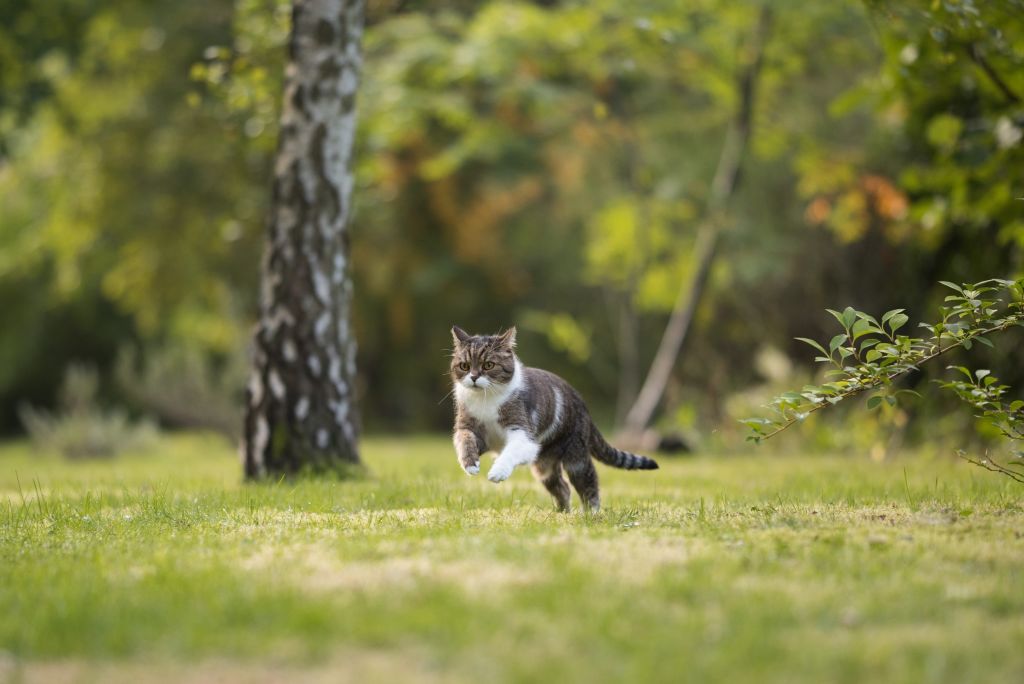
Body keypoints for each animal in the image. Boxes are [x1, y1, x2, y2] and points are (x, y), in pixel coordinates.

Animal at [448, 325, 655, 511]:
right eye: (464, 366)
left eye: (488, 365)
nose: (474, 377)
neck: (485, 400)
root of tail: (582, 403)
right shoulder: (471, 429)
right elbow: (464, 440)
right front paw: (470, 464)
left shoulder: (524, 435)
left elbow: (510, 452)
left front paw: (498, 472)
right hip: (544, 465)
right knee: (562, 487)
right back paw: (561, 514)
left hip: (576, 457)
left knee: (589, 485)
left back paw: (591, 516)